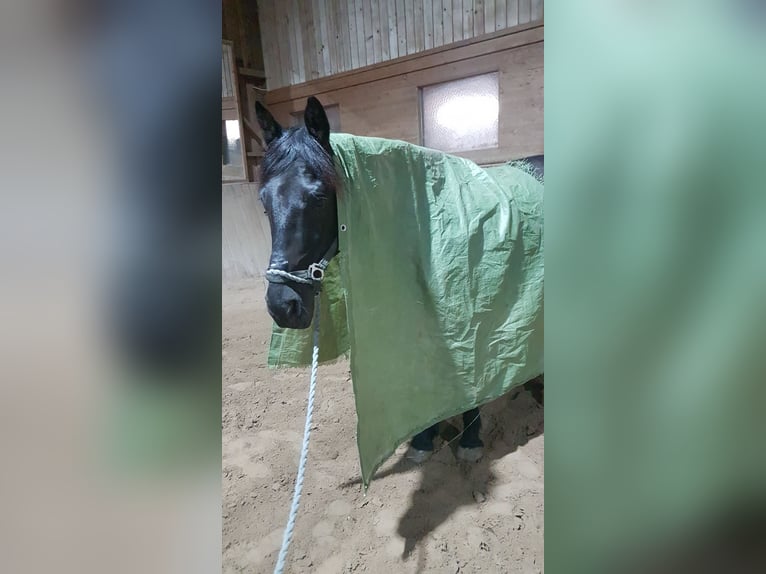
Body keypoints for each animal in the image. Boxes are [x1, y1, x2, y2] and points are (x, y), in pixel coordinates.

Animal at [256, 96, 542, 465]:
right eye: (264, 201)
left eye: (319, 197)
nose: (282, 305)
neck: (424, 225)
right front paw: (423, 437)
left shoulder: (467, 319)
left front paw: (469, 438)